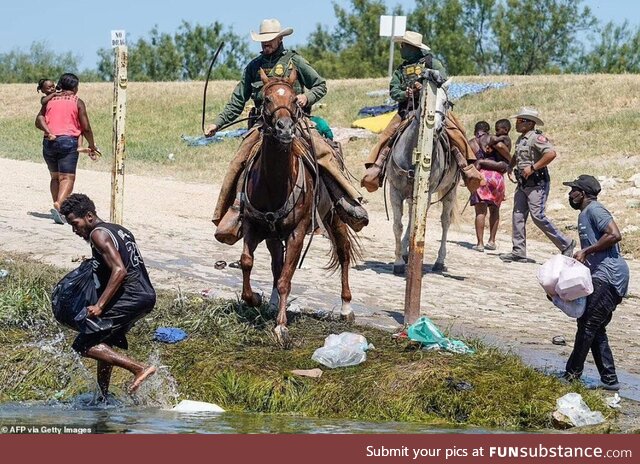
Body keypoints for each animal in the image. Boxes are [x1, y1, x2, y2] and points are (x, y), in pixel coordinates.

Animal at [240, 68, 360, 344]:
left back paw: (346, 308)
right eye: (267, 99)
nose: (284, 128)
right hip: (274, 235)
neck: (274, 184)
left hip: (334, 217)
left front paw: (281, 327)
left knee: (343, 252)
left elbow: (287, 278)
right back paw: (273, 302)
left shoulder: (297, 232)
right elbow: (248, 262)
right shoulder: (253, 225)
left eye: (295, 100)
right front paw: (255, 299)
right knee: (276, 264)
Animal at [384, 82, 460, 276]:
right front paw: (398, 262)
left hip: (450, 191)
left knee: (445, 222)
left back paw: (439, 261)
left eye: (446, 102)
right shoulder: (395, 191)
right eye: (425, 99)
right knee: (412, 218)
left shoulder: (428, 192)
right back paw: (405, 251)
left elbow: (417, 226)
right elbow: (398, 225)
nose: (437, 128)